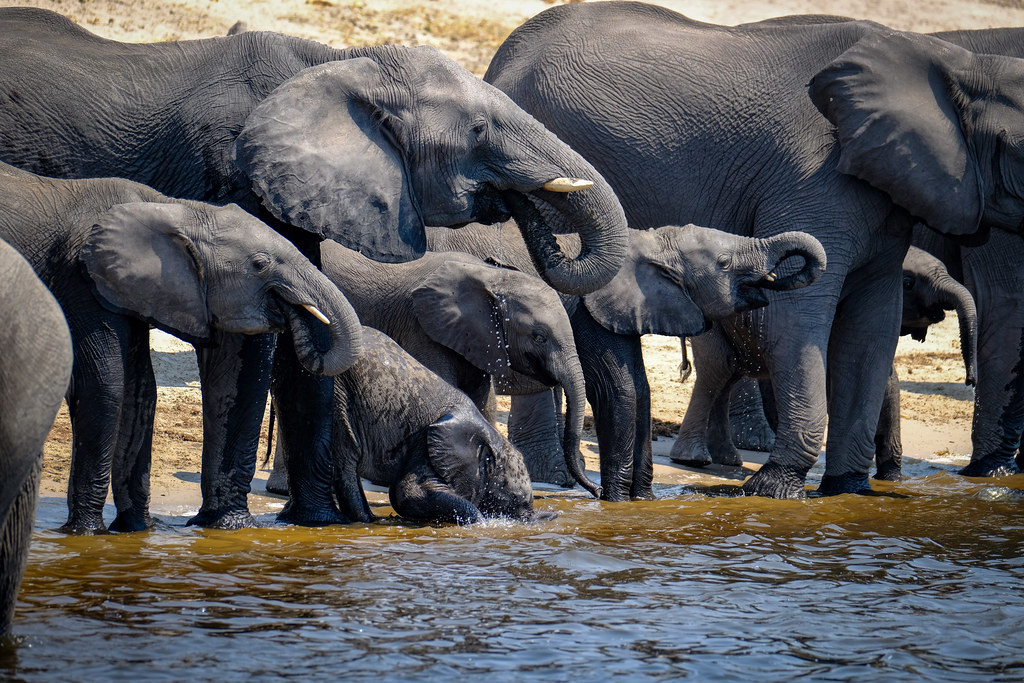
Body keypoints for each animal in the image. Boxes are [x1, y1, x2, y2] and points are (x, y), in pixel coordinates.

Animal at [0, 161, 362, 533]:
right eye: (260, 264)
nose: (298, 314)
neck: (175, 209)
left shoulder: (127, 286)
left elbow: (140, 390)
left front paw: (138, 530)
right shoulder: (80, 277)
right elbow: (104, 384)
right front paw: (86, 534)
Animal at [265, 240, 597, 497]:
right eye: (539, 336)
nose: (596, 491)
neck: (493, 277)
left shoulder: (477, 338)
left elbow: (483, 402)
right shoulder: (422, 327)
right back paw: (282, 490)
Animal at [426, 220, 826, 501]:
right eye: (724, 263)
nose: (594, 492)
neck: (649, 242)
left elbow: (641, 389)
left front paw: (644, 501)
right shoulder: (590, 312)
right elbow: (618, 391)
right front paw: (617, 502)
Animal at [483, 2, 1024, 497]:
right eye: (1017, 148)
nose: (969, 376)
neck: (959, 64)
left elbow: (872, 325)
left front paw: (847, 491)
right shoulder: (815, 180)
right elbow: (800, 317)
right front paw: (773, 487)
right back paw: (555, 477)